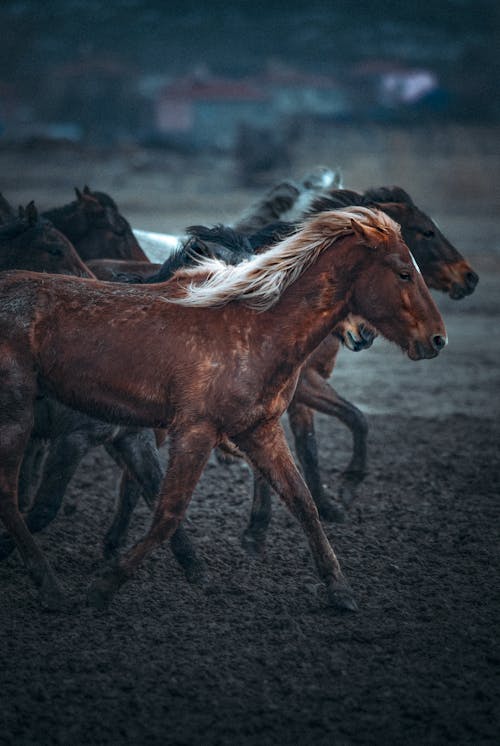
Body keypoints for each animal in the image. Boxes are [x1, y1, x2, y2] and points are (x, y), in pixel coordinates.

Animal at [0, 205, 448, 612]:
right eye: (404, 273)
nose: (437, 339)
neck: (255, 329)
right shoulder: (193, 432)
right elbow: (168, 512)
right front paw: (105, 587)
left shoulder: (259, 430)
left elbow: (303, 502)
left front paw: (339, 591)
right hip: (16, 417)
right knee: (9, 495)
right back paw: (52, 589)